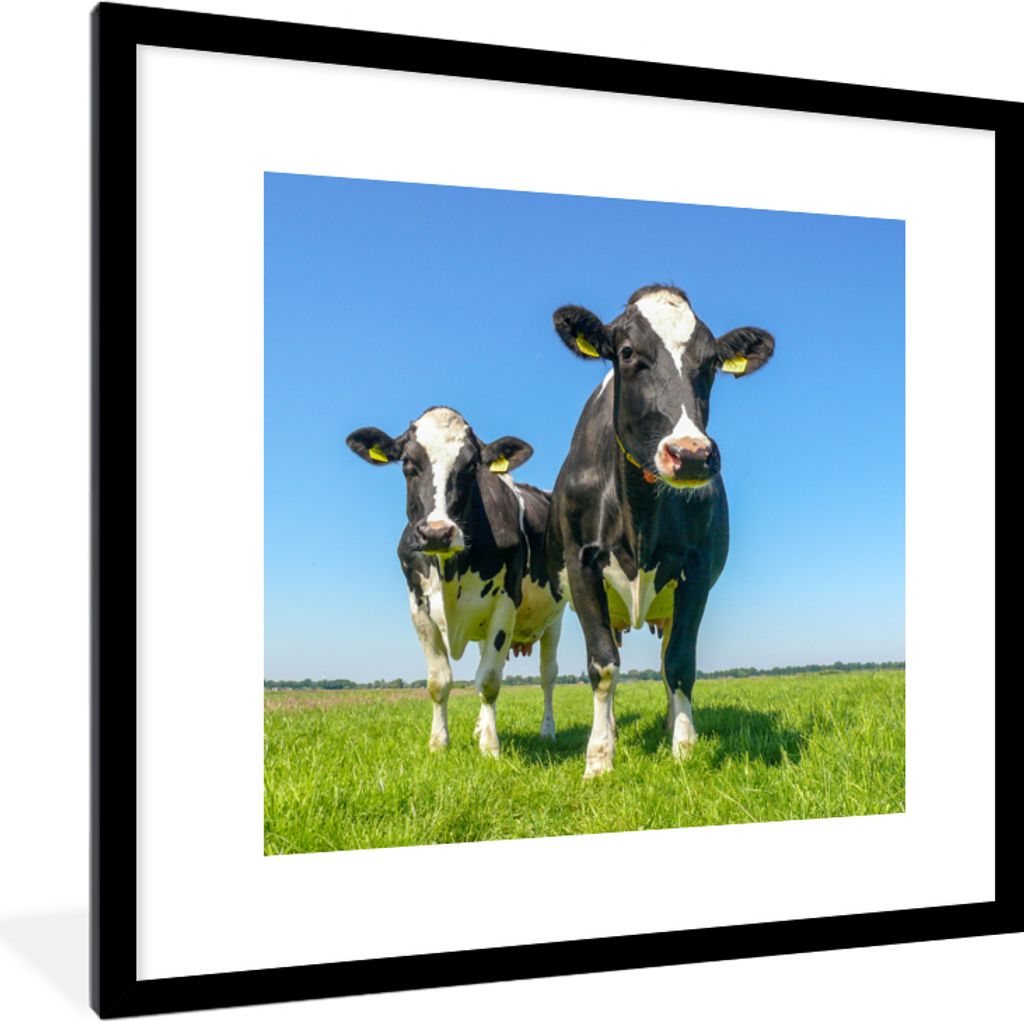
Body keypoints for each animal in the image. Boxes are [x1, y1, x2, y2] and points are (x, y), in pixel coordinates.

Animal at [347, 406, 566, 756]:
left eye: (471, 466)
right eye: (407, 464)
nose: (437, 532)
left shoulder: (505, 603)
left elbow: (489, 680)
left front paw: (490, 747)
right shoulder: (418, 607)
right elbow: (440, 680)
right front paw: (439, 743)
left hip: (555, 618)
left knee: (547, 675)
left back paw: (547, 730)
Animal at [546, 284, 775, 778]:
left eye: (711, 362)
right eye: (628, 352)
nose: (690, 455)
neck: (640, 511)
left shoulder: (696, 572)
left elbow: (681, 663)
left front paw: (684, 747)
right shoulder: (581, 565)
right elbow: (603, 665)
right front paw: (599, 758)